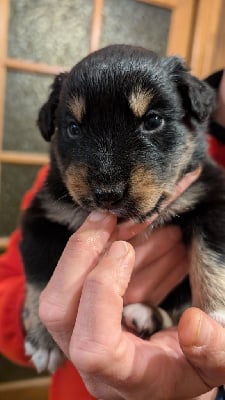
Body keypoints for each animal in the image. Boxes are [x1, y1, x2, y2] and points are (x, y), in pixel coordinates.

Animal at [19, 45, 225, 374]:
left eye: (152, 121)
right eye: (73, 128)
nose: (108, 194)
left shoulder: (211, 196)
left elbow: (211, 255)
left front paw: (215, 313)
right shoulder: (42, 218)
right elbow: (42, 278)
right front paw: (44, 343)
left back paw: (145, 314)